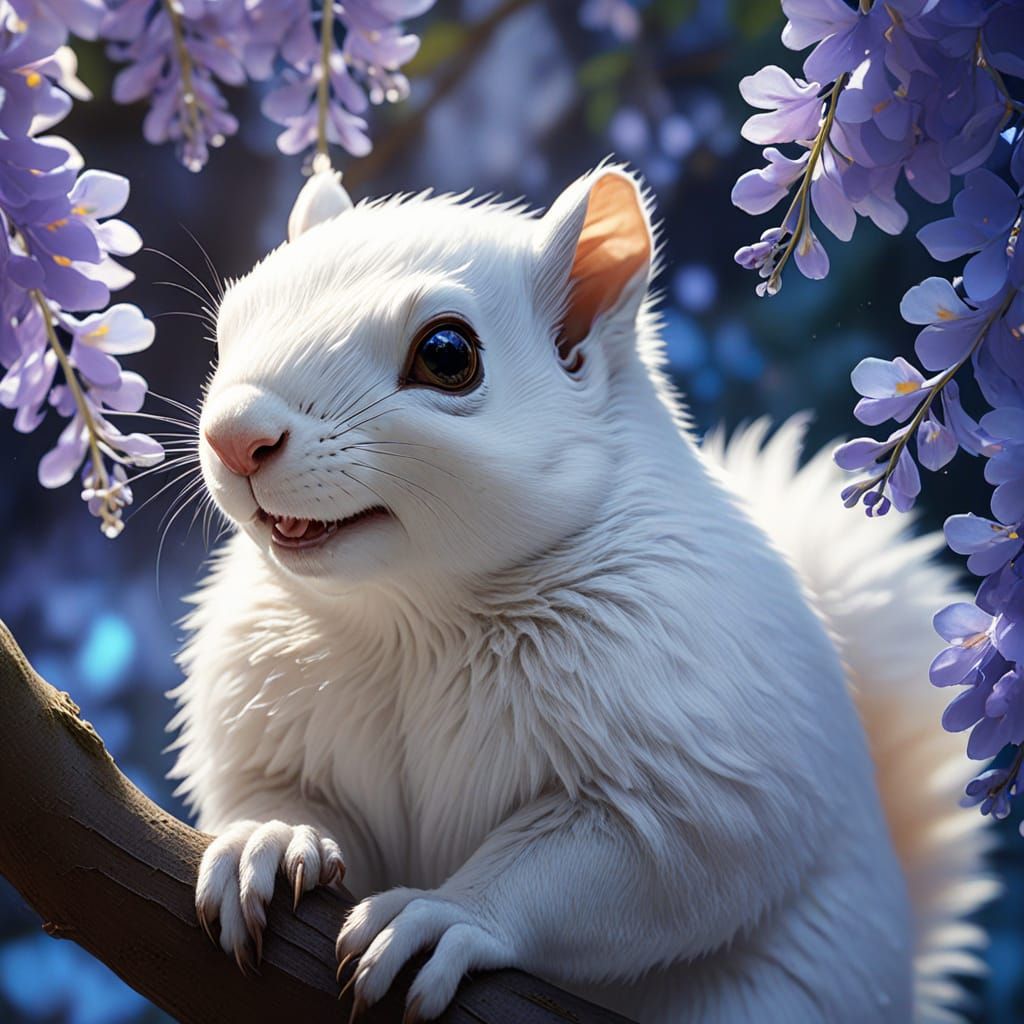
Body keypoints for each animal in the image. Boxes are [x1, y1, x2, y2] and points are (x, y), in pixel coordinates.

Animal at [172, 162, 995, 1023]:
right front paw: (268, 837)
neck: (412, 616)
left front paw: (446, 914)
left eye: (446, 355)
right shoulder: (272, 719)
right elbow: (285, 794)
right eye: (228, 327)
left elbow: (619, 859)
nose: (234, 437)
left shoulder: (687, 746)